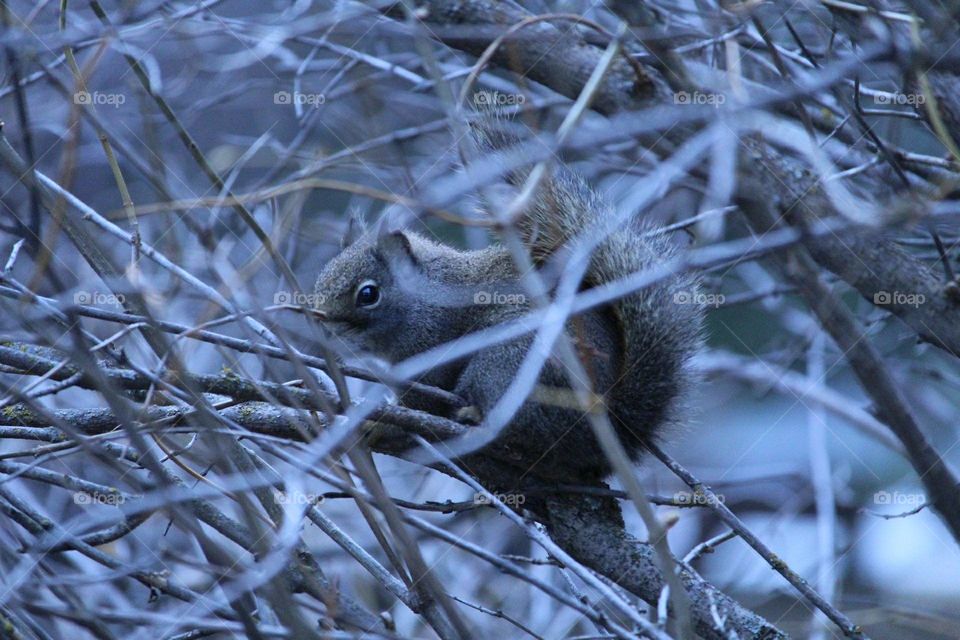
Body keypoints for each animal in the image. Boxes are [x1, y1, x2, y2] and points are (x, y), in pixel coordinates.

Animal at [312, 116, 702, 484]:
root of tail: (607, 434)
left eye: (368, 294)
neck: (420, 301)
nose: (321, 327)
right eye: (322, 276)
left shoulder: (431, 353)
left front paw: (379, 426)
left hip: (509, 367)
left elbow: (419, 407)